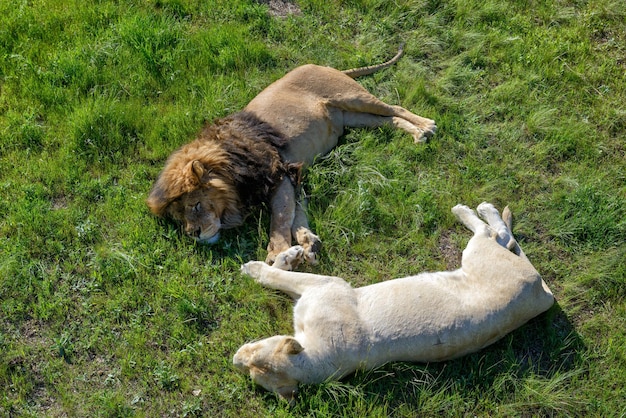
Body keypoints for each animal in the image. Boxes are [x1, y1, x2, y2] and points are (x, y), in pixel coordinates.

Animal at [146, 45, 434, 268]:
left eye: (195, 205)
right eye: (178, 218)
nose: (193, 234)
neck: (229, 168)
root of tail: (325, 66)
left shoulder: (279, 174)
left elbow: (281, 217)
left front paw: (277, 255)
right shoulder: (294, 176)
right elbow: (297, 214)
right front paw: (308, 244)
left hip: (351, 96)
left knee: (394, 107)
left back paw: (427, 126)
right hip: (353, 118)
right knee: (388, 120)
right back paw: (416, 133)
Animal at [233, 202, 552, 402]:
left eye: (254, 351)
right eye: (247, 370)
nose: (234, 359)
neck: (312, 357)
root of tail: (541, 295)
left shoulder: (327, 285)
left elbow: (275, 276)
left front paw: (256, 267)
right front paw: (288, 256)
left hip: (477, 254)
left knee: (492, 232)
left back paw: (470, 209)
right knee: (505, 238)